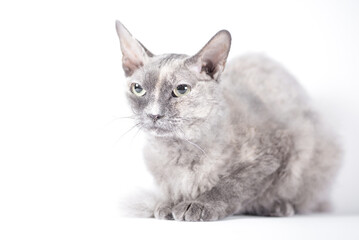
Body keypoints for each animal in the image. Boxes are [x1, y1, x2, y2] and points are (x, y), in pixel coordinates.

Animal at [116, 20, 344, 221]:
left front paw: (199, 204)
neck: (178, 150)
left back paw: (278, 208)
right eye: (138, 89)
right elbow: (170, 190)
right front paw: (168, 204)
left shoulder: (270, 154)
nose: (154, 114)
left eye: (181, 90)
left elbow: (231, 185)